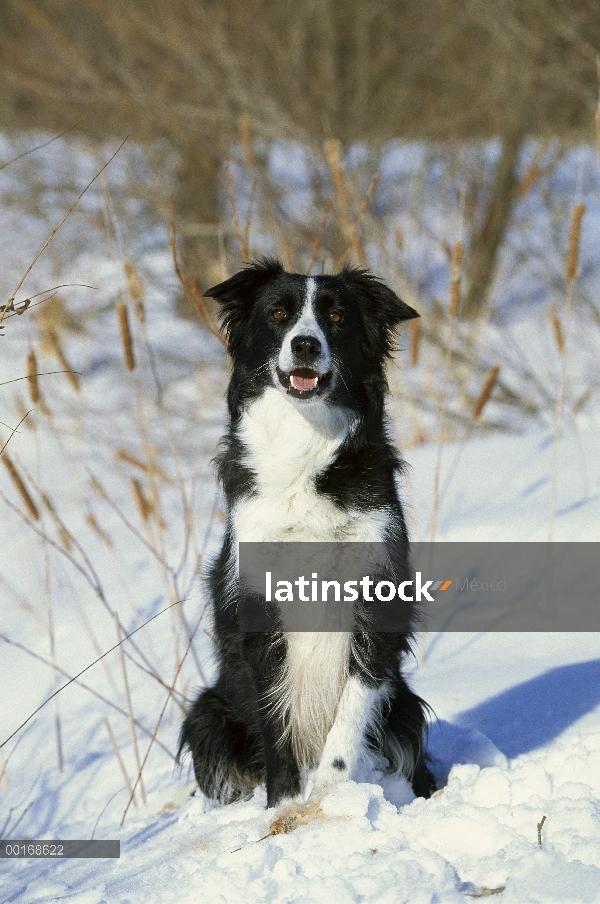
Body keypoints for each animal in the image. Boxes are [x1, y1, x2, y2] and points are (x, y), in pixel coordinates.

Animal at [179, 258, 436, 816]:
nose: (305, 345)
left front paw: (329, 796)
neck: (305, 440)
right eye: (278, 314)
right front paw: (283, 807)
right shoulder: (259, 606)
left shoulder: (376, 595)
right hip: (208, 716)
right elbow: (276, 722)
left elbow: (352, 709)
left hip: (405, 710)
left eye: (335, 317)